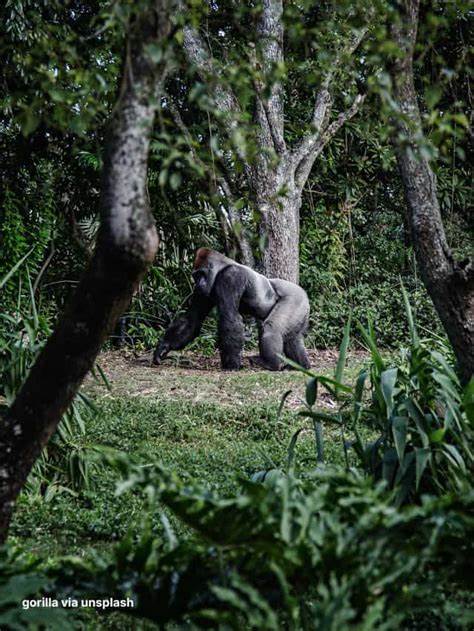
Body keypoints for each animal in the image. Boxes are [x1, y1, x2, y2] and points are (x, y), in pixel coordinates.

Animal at [153, 248, 312, 370]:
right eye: (195, 276)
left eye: (201, 274)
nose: (198, 283)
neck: (222, 267)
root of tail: (304, 294)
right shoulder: (202, 292)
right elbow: (192, 319)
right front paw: (163, 347)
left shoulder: (230, 277)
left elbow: (229, 317)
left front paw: (231, 364)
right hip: (301, 308)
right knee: (292, 338)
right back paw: (301, 365)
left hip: (295, 298)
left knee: (271, 328)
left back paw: (270, 364)